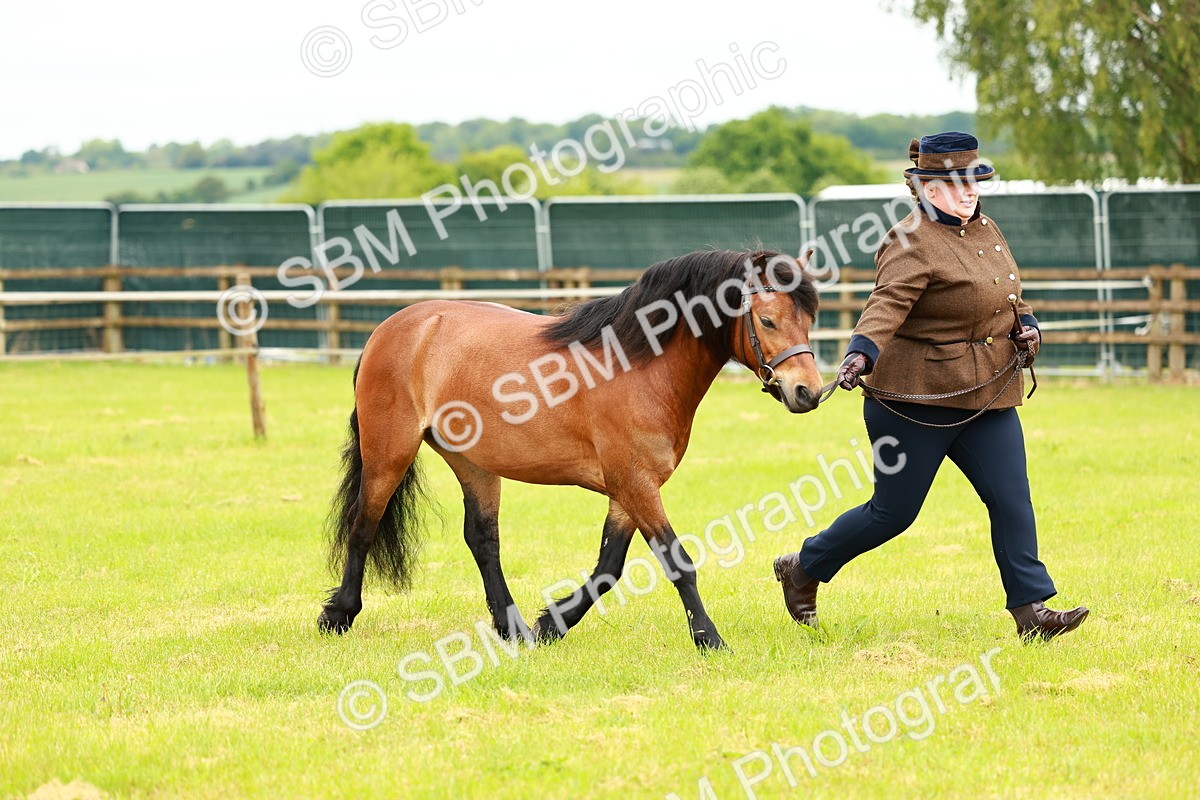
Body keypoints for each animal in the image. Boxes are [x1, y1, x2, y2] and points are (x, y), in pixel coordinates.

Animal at [319, 248, 825, 650]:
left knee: (483, 540)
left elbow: (608, 567)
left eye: (809, 319)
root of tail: (393, 328)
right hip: (389, 453)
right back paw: (338, 614)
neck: (639, 365)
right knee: (363, 526)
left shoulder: (628, 490)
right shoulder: (636, 484)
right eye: (767, 320)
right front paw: (709, 638)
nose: (808, 392)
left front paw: (551, 624)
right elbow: (677, 562)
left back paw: (512, 627)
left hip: (474, 465)